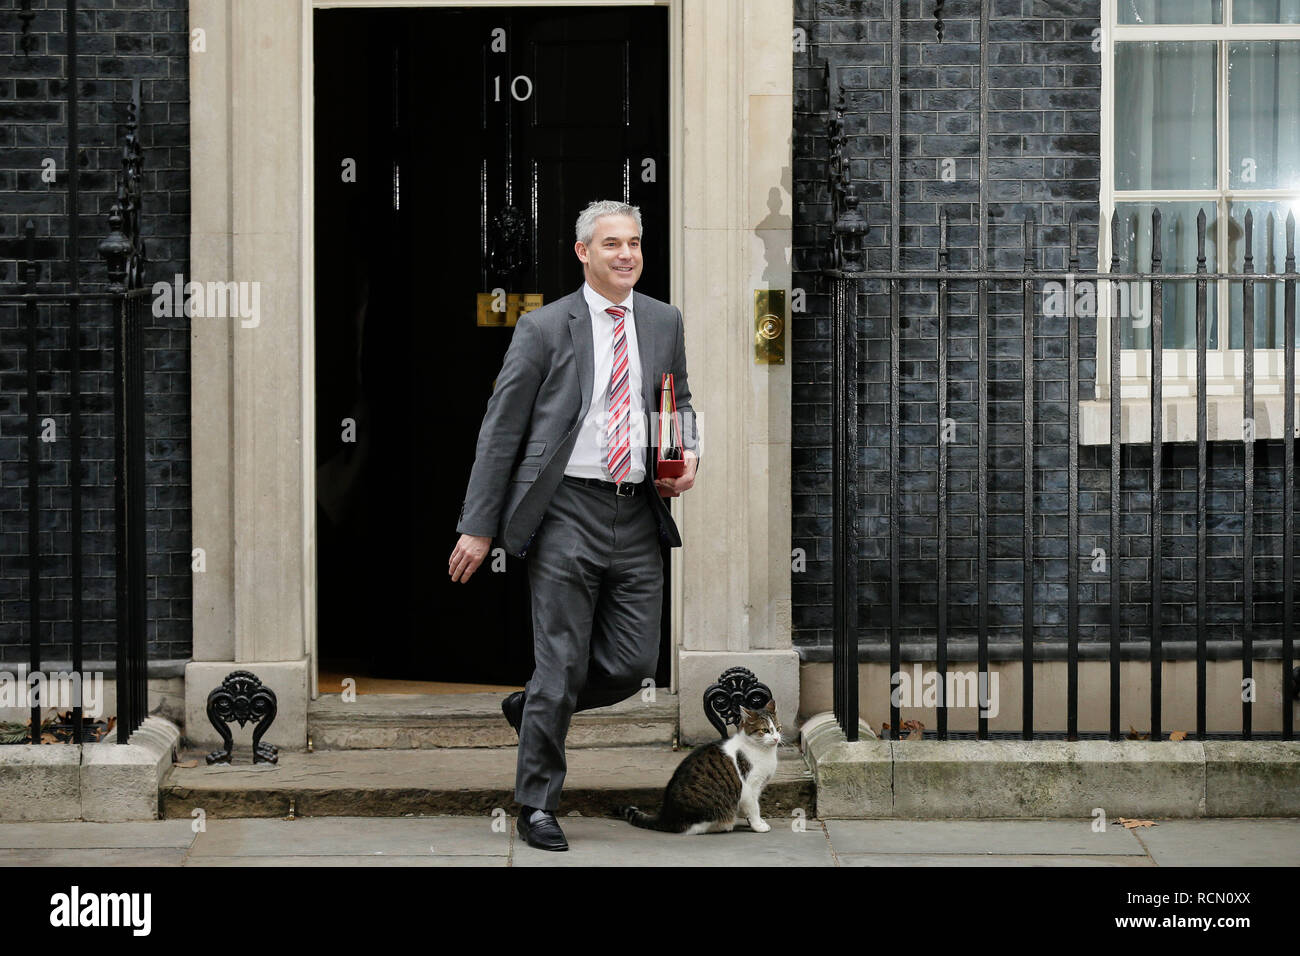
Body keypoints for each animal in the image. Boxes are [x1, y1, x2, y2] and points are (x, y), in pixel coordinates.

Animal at [618, 697, 780, 832]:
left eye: (778, 728)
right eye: (765, 730)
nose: (777, 738)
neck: (763, 751)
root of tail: (666, 817)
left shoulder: (758, 787)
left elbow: (754, 807)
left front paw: (756, 822)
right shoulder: (750, 787)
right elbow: (754, 808)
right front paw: (758, 825)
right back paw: (725, 825)